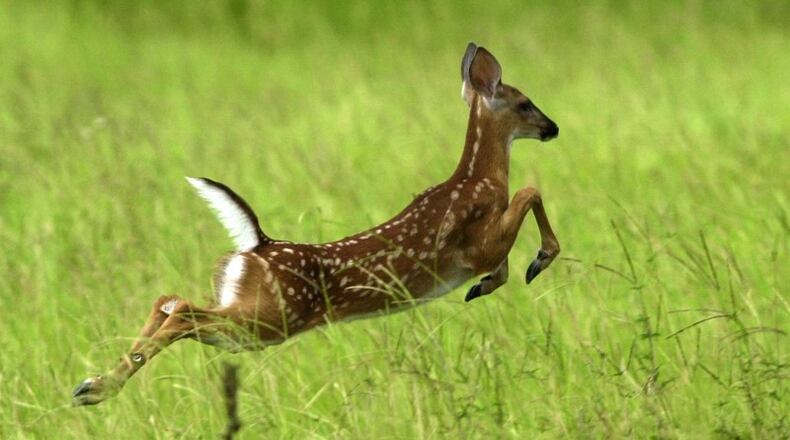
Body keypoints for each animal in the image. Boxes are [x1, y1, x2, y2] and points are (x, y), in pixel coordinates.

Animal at [72, 43, 560, 406]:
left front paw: (490, 283)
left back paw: (92, 385)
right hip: (270, 319)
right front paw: (536, 261)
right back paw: (97, 388)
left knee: (168, 299)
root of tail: (257, 243)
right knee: (183, 311)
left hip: (247, 318)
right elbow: (529, 192)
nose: (552, 128)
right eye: (525, 102)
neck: (479, 178)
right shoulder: (474, 244)